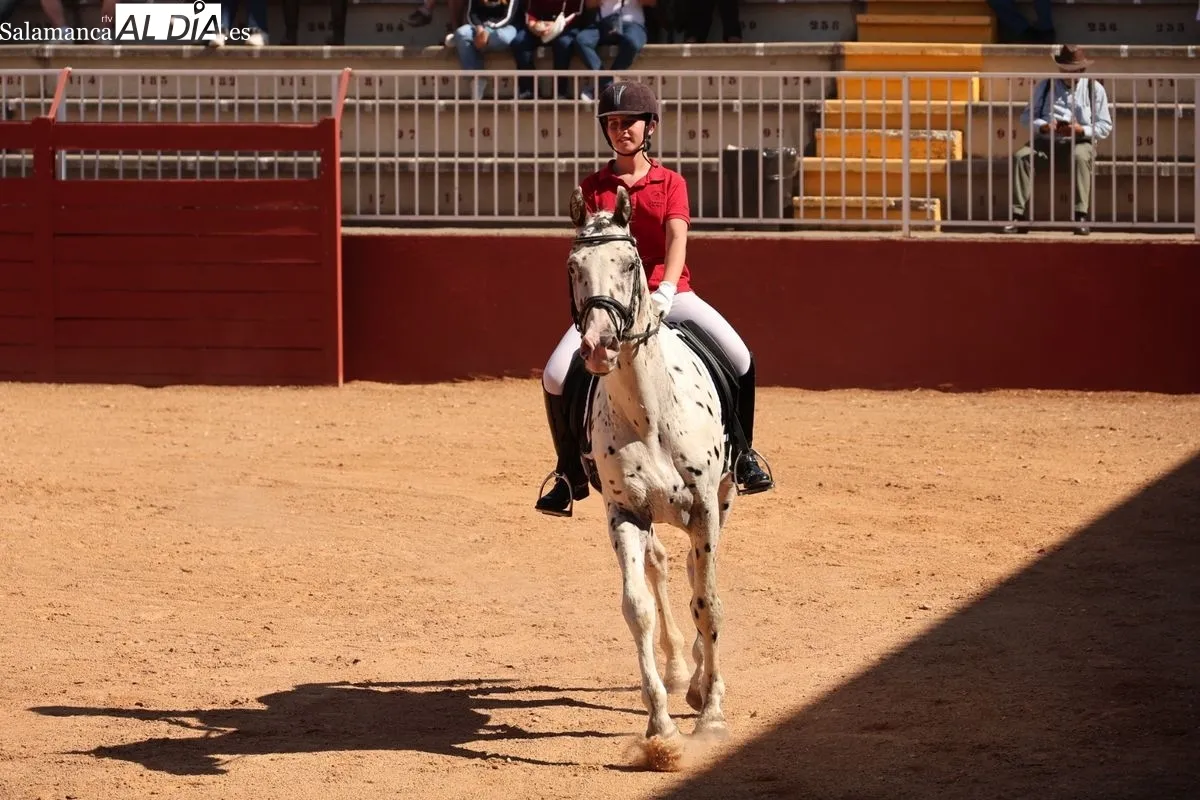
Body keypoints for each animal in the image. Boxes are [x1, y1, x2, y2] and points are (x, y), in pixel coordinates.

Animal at [564, 184, 737, 760]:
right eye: (573, 267)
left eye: (630, 262)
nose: (598, 347)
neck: (649, 409)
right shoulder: (624, 513)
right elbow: (636, 606)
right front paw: (660, 726)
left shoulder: (704, 506)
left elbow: (708, 602)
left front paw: (711, 714)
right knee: (664, 569)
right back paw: (682, 669)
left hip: (723, 500)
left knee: (694, 573)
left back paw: (702, 682)